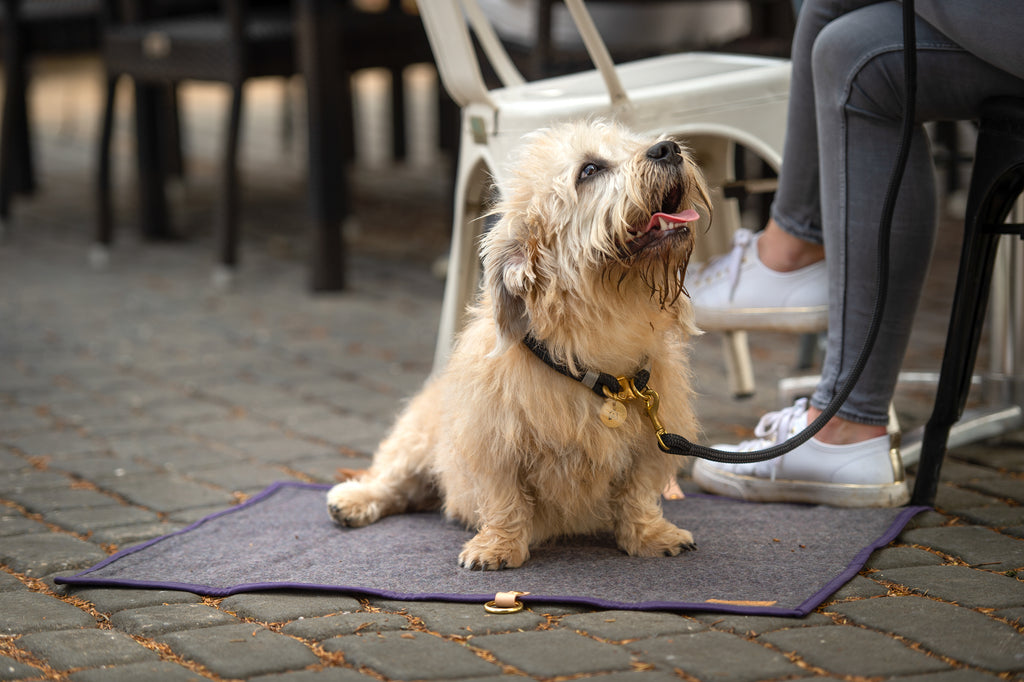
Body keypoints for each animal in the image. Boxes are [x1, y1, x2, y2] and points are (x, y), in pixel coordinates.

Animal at [327, 118, 712, 569]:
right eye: (589, 170)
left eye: (639, 143)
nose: (668, 149)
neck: (598, 356)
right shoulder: (493, 444)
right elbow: (505, 500)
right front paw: (497, 547)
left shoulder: (648, 447)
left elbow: (637, 496)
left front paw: (650, 535)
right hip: (416, 440)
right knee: (390, 481)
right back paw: (353, 501)